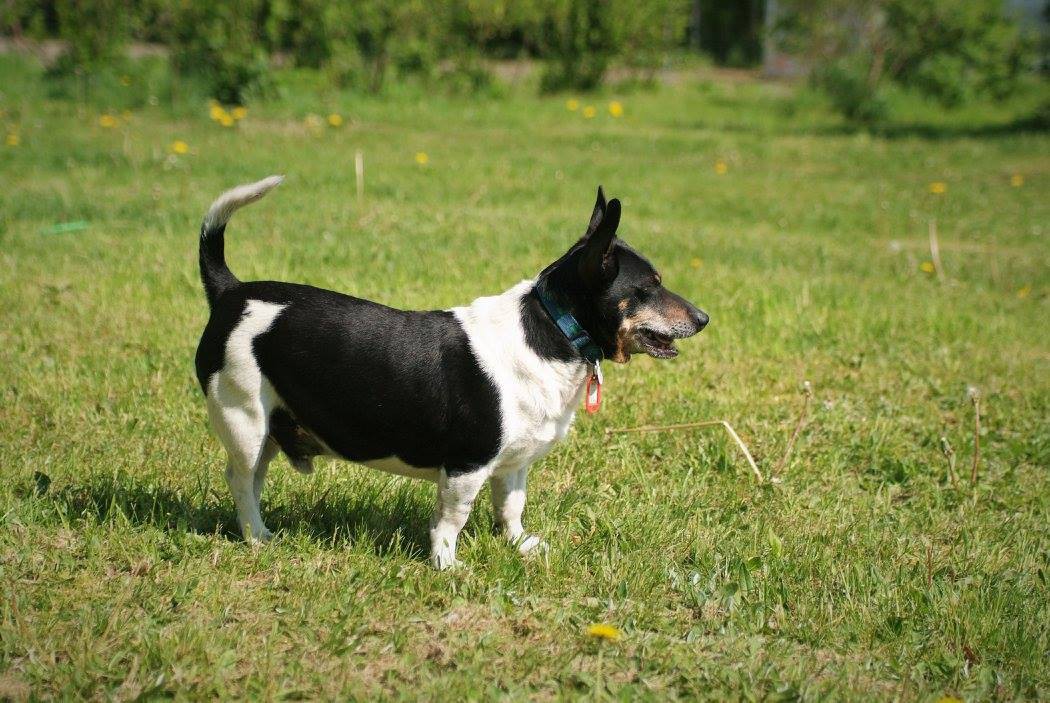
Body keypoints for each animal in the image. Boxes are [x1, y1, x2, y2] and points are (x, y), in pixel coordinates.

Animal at [194, 177, 708, 569]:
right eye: (649, 287)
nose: (704, 318)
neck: (552, 329)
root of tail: (230, 291)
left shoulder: (513, 465)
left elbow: (511, 507)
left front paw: (520, 546)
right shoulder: (467, 466)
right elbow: (451, 520)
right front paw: (447, 565)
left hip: (269, 429)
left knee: (254, 479)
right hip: (244, 421)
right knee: (240, 480)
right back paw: (257, 535)